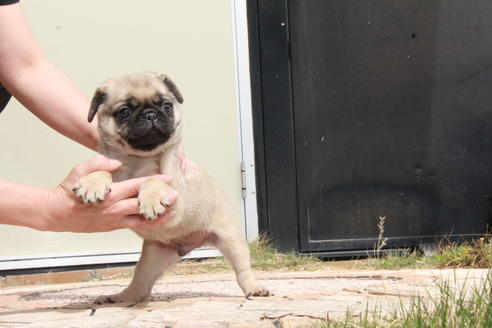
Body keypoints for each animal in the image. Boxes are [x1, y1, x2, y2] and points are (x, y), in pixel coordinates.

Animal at [74, 72, 270, 304]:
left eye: (166, 106)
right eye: (124, 112)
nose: (151, 115)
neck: (137, 160)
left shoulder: (177, 199)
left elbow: (155, 179)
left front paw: (151, 198)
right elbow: (104, 171)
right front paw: (92, 183)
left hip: (231, 241)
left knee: (243, 270)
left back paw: (254, 288)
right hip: (152, 258)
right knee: (141, 285)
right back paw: (119, 297)